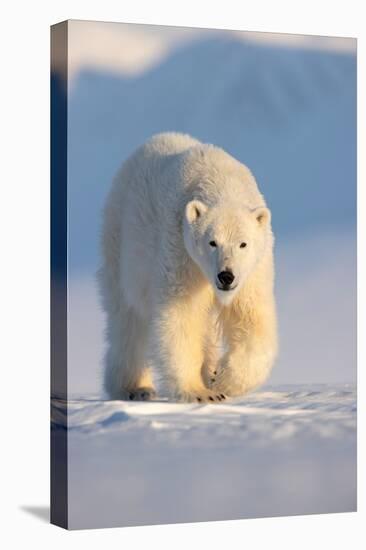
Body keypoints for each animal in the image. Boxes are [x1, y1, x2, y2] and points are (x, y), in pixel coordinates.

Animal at [97, 132, 278, 404]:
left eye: (243, 243)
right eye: (212, 242)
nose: (226, 276)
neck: (221, 180)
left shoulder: (254, 270)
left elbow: (252, 317)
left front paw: (222, 380)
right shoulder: (181, 250)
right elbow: (182, 314)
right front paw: (201, 393)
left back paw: (208, 369)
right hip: (122, 244)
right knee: (128, 320)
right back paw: (134, 387)